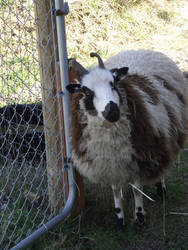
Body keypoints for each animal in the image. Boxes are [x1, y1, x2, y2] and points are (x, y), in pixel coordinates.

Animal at [66, 50, 188, 229]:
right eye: (87, 91)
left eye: (113, 84)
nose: (112, 111)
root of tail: (139, 51)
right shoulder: (110, 164)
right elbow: (116, 191)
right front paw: (119, 219)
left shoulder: (140, 157)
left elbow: (137, 189)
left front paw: (139, 217)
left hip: (163, 136)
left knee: (161, 164)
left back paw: (161, 189)